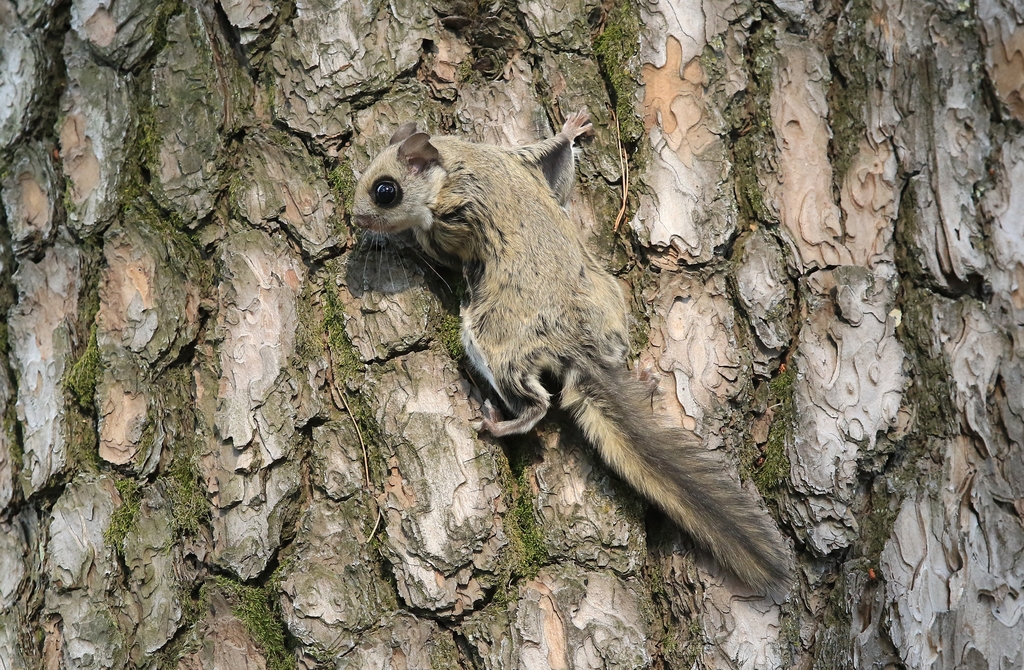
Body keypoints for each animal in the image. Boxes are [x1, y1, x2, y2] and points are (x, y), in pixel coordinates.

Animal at [352, 110, 790, 598]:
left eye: (385, 191)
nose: (356, 219)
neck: (456, 163)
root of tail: (579, 349)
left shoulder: (450, 219)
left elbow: (439, 247)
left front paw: (406, 244)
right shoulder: (520, 160)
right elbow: (552, 164)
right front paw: (570, 130)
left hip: (493, 339)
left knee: (539, 405)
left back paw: (499, 422)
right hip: (607, 304)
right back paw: (642, 381)